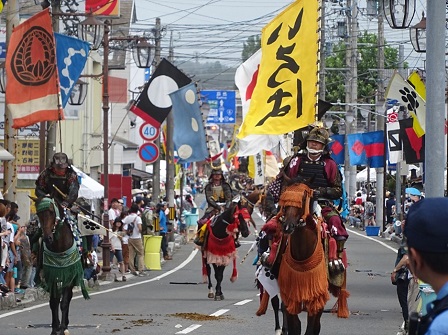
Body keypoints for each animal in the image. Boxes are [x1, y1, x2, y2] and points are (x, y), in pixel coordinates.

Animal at [32, 197, 89, 335]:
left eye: (52, 212)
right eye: (38, 213)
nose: (47, 238)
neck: (59, 247)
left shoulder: (69, 274)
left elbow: (64, 302)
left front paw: (62, 328)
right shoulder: (51, 275)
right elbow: (54, 302)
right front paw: (55, 328)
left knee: (68, 298)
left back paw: (66, 325)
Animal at [272, 181, 350, 335]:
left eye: (303, 199)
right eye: (284, 198)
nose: (288, 226)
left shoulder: (317, 295)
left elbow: (312, 328)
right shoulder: (290, 293)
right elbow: (294, 326)